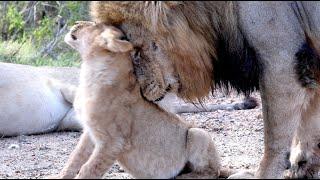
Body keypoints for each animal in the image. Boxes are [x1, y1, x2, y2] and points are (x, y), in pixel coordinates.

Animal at [49, 21, 230, 179]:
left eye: (94, 24)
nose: (75, 22)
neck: (91, 70)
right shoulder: (90, 132)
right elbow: (75, 158)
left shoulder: (114, 142)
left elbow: (89, 169)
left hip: (198, 133)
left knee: (211, 172)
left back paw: (182, 177)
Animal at [90, 1, 320, 179]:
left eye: (136, 51)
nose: (141, 92)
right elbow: (310, 123)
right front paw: (301, 167)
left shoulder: (281, 62)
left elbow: (275, 139)